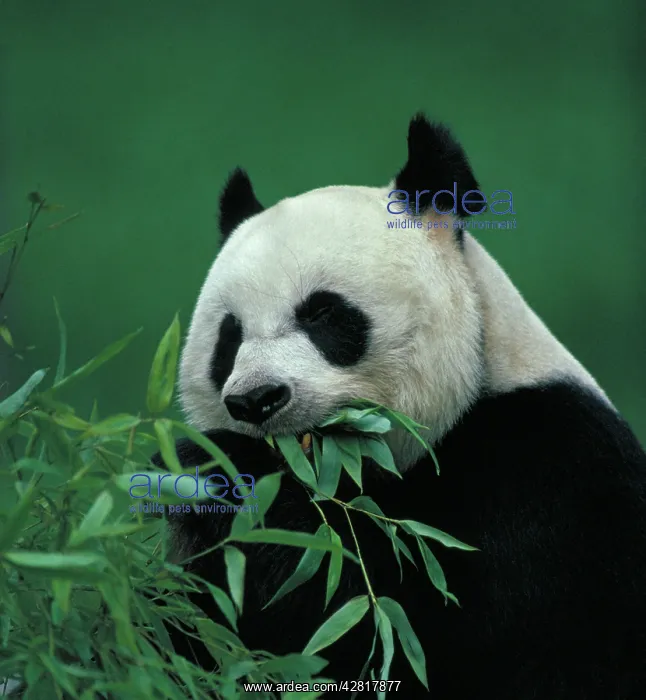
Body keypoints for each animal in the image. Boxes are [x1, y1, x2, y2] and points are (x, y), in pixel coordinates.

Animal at [152, 114, 646, 698]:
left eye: (323, 313)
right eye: (229, 338)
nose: (255, 399)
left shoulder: (553, 475)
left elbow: (400, 632)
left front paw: (225, 474)